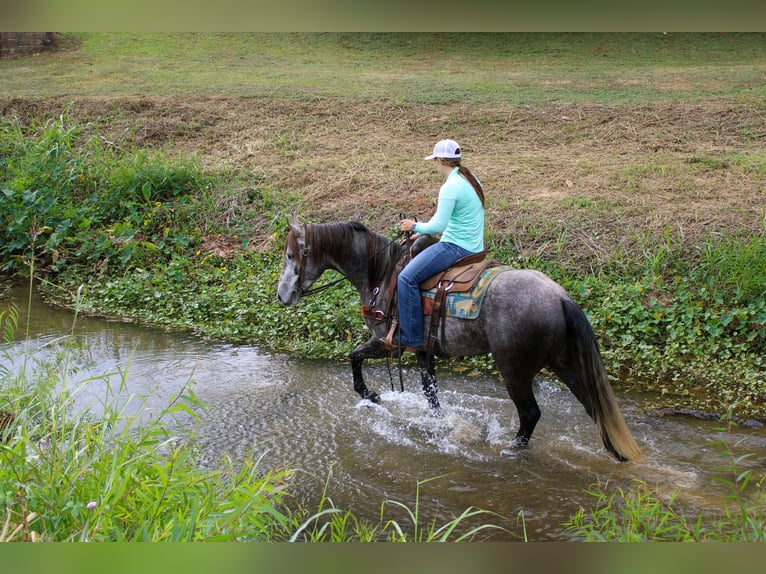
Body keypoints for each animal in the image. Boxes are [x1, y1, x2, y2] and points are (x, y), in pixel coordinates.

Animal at [277, 220, 642, 462]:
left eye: (292, 256)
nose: (281, 297)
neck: (382, 272)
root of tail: (560, 297)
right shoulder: (422, 350)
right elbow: (431, 393)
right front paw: (438, 424)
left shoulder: (387, 341)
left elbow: (354, 356)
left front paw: (371, 394)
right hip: (564, 364)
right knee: (592, 406)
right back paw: (615, 452)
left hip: (515, 370)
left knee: (530, 413)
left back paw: (511, 448)